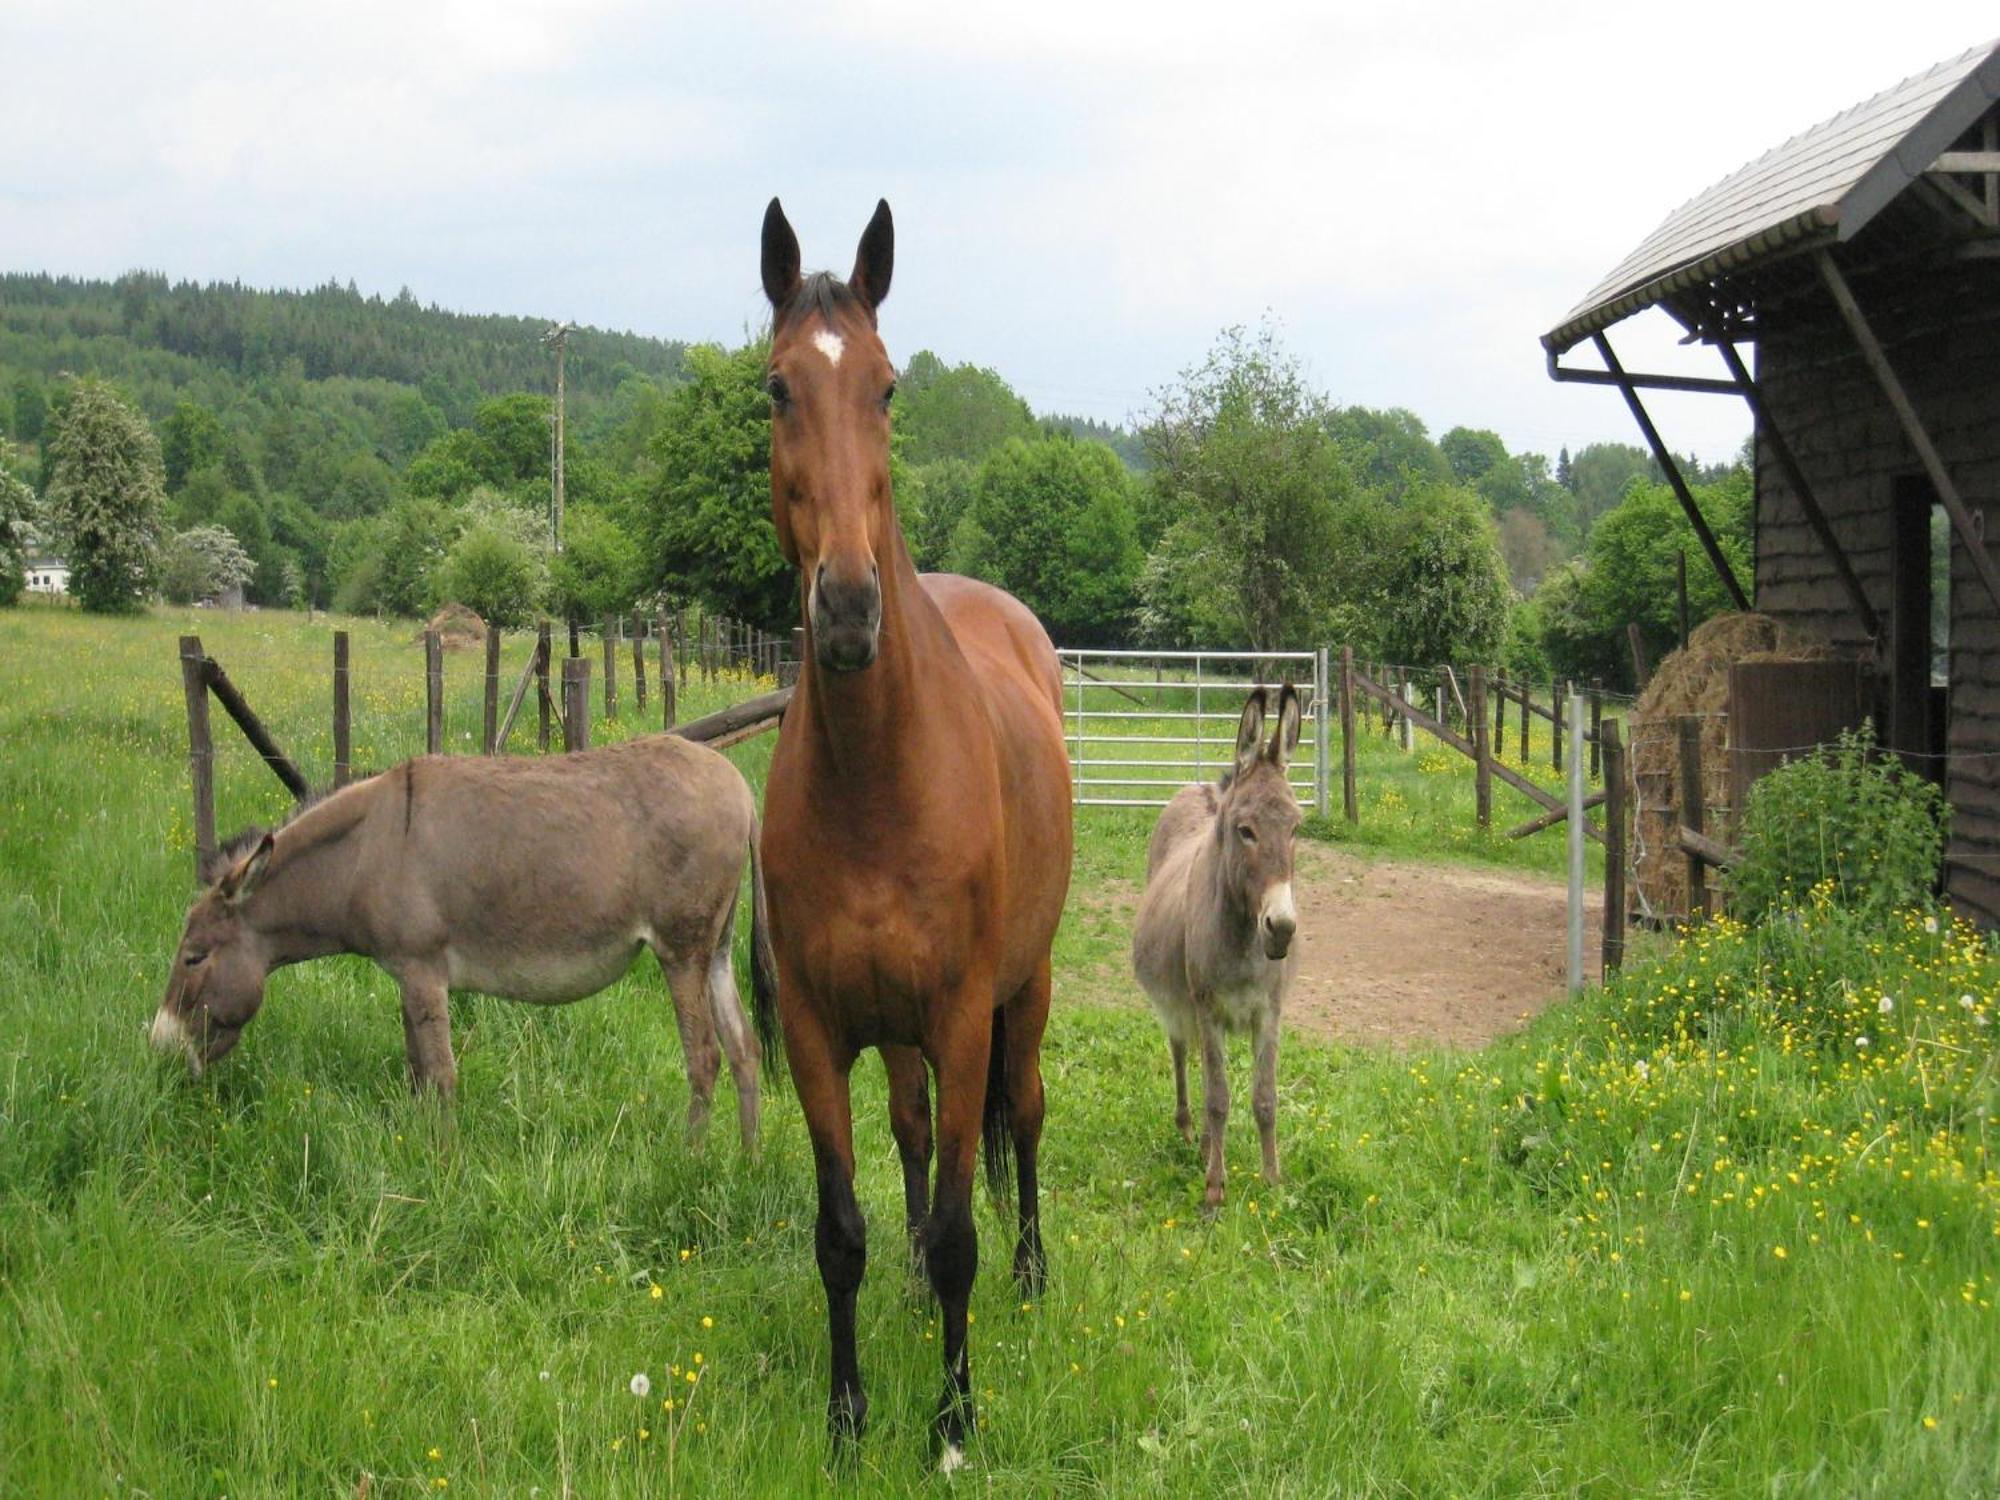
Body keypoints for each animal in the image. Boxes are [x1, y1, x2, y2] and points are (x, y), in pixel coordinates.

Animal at [752, 200, 1072, 1472]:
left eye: (885, 387)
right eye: (776, 388)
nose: (846, 609)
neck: (879, 783)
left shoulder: (961, 1012)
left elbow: (958, 1235)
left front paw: (951, 1423)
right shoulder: (814, 1029)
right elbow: (840, 1225)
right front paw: (846, 1419)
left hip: (1024, 989)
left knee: (1020, 1121)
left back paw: (1033, 1272)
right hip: (894, 1037)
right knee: (915, 1131)